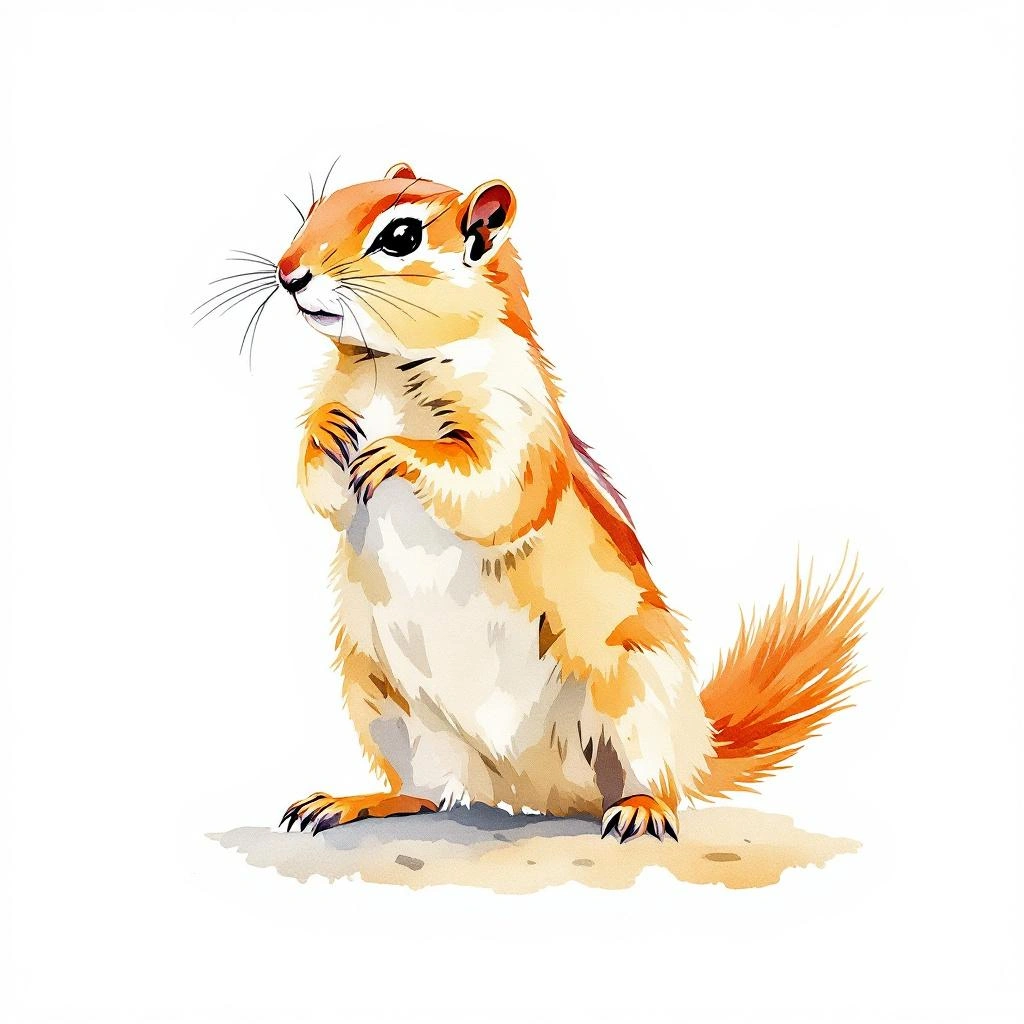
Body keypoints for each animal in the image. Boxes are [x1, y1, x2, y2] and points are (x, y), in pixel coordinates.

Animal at [267, 162, 873, 843]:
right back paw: (358, 801)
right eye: (316, 207)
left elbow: (494, 489)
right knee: (424, 789)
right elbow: (326, 495)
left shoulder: (518, 417)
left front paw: (400, 452)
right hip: (383, 700)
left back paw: (641, 807)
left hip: (636, 692)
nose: (288, 272)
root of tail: (531, 788)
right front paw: (326, 432)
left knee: (653, 780)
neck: (388, 368)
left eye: (401, 236)